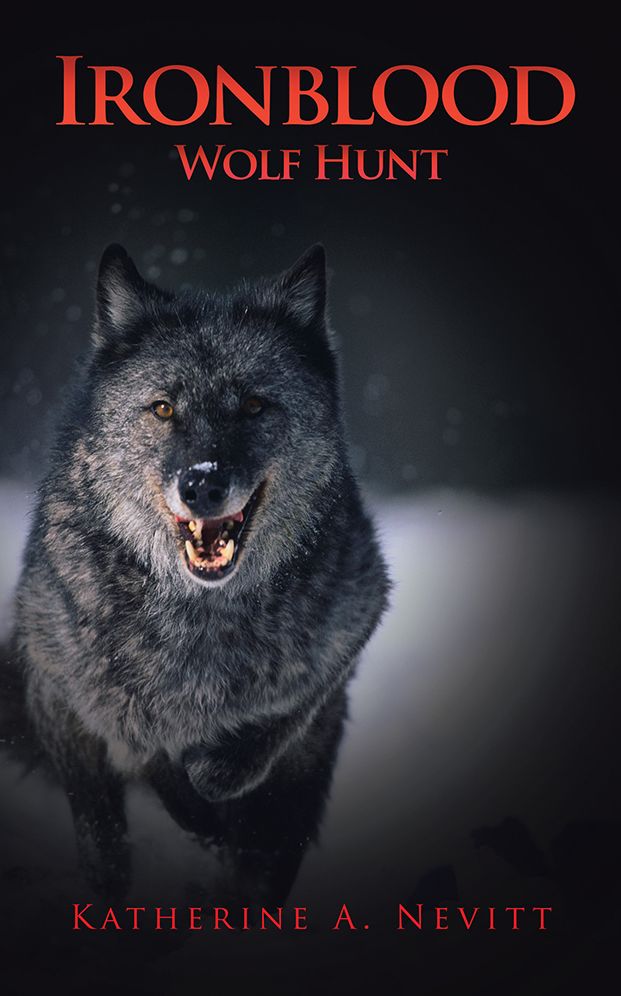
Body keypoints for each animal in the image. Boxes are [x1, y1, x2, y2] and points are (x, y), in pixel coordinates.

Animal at [13, 243, 389, 900]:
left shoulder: (355, 621)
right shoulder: (61, 698)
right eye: (163, 407)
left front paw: (211, 783)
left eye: (255, 404)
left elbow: (266, 730)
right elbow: (112, 814)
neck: (198, 619)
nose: (203, 483)